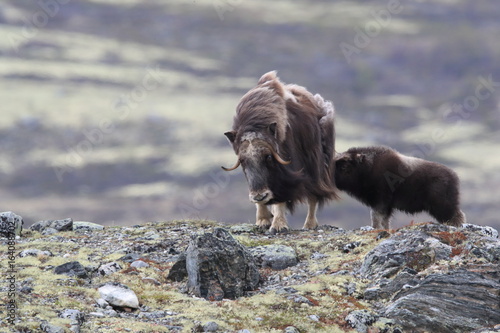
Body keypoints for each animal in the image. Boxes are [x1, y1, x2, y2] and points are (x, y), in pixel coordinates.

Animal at [334, 146, 466, 228]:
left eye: (344, 167)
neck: (367, 168)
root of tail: (454, 176)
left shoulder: (381, 200)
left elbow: (376, 216)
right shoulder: (385, 205)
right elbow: (384, 219)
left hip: (442, 204)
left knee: (455, 216)